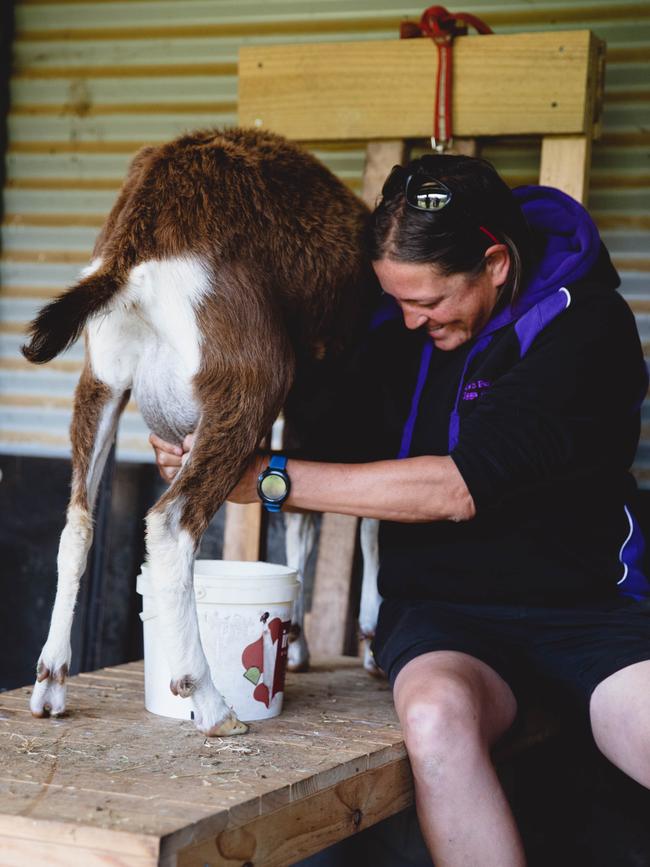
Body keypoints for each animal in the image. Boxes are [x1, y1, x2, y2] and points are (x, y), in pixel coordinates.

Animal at [24, 127, 380, 740]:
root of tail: (138, 243)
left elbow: (303, 519)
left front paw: (301, 644)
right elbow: (367, 522)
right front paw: (365, 644)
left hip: (102, 381)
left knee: (78, 523)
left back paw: (51, 683)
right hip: (250, 382)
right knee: (170, 523)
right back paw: (210, 703)